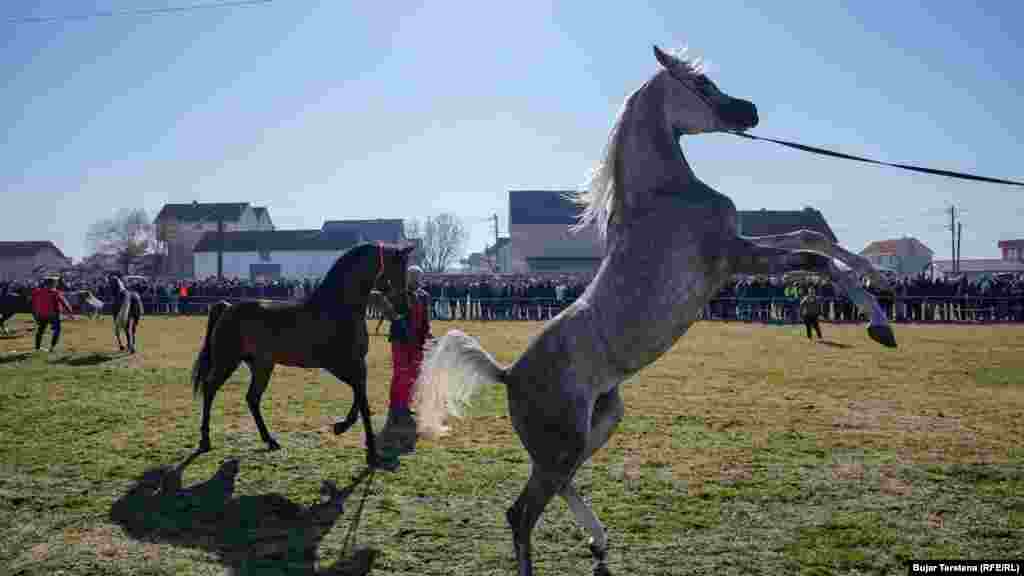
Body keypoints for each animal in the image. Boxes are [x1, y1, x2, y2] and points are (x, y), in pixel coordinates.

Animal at [190, 239, 413, 469]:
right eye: (398, 268)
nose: (405, 307)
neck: (338, 308)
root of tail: (227, 307)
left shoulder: (357, 365)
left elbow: (359, 400)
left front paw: (341, 427)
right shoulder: (339, 364)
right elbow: (363, 403)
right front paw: (371, 453)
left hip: (261, 365)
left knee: (252, 398)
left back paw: (270, 440)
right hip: (227, 361)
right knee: (210, 389)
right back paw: (205, 441)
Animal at [415, 45, 897, 573]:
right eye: (701, 83)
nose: (749, 111)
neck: (665, 196)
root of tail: (508, 374)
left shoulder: (741, 250)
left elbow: (813, 238)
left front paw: (878, 276)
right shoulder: (734, 256)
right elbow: (816, 258)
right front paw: (880, 323)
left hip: (598, 426)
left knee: (559, 486)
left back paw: (599, 544)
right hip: (564, 441)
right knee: (520, 514)